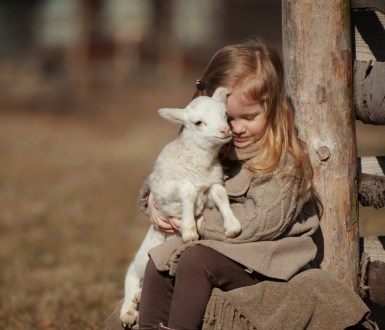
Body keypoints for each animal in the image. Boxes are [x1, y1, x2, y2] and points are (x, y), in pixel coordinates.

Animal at [119, 87, 240, 328]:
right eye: (198, 122)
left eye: (225, 114)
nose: (225, 131)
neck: (200, 165)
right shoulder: (164, 191)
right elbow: (188, 189)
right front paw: (189, 231)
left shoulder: (213, 183)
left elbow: (220, 194)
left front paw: (232, 226)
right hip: (142, 258)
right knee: (131, 275)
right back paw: (128, 310)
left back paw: (138, 298)